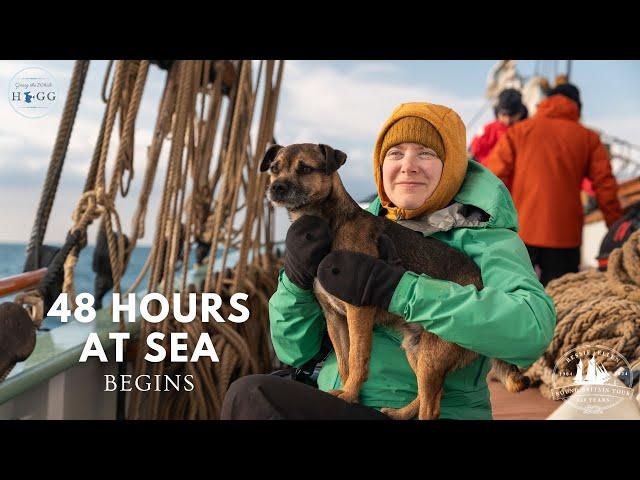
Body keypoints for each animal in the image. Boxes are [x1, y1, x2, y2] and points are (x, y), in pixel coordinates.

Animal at [260, 143, 528, 420]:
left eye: (304, 168)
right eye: (274, 168)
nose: (276, 187)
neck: (334, 223)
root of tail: (481, 284)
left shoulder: (358, 312)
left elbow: (357, 359)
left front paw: (350, 395)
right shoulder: (334, 319)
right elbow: (344, 362)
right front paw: (344, 392)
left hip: (431, 355)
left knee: (432, 407)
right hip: (415, 349)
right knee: (429, 394)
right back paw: (399, 413)